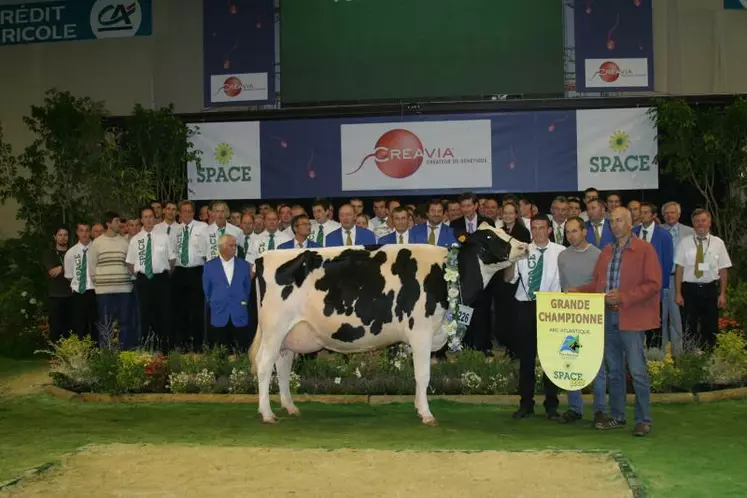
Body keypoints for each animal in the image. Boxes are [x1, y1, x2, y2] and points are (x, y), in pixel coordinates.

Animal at [248, 224, 528, 426]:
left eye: (504, 230)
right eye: (489, 236)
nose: (524, 246)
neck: (448, 273)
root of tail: (265, 257)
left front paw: (419, 408)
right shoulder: (421, 332)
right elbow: (423, 374)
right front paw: (427, 415)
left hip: (290, 335)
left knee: (282, 366)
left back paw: (290, 407)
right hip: (275, 328)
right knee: (264, 364)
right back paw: (267, 414)